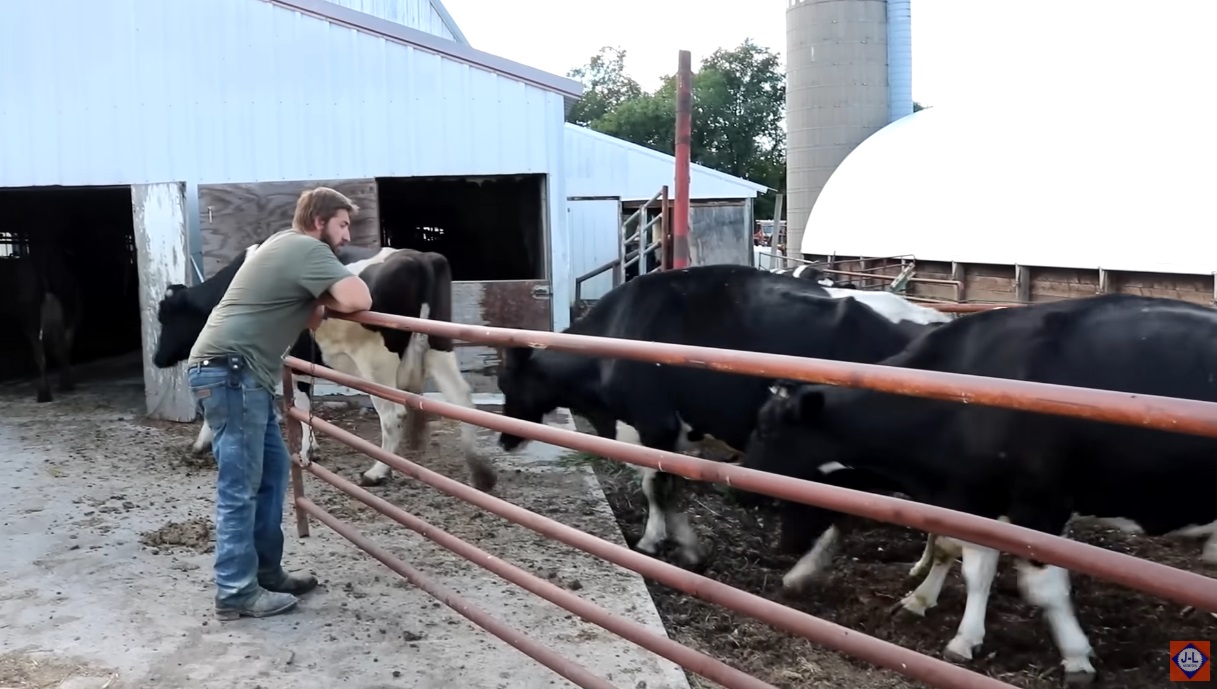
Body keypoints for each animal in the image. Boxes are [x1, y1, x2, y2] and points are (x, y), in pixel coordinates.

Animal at [12, 251, 82, 404]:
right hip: (69, 308)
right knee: (64, 346)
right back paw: (66, 385)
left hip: (31, 315)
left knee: (41, 352)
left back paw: (44, 394)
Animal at [153, 242, 494, 491]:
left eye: (166, 316)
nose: (157, 358)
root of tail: (421, 257)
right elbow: (304, 402)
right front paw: (310, 447)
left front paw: (202, 442)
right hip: (440, 346)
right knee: (462, 399)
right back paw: (480, 473)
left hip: (376, 365)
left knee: (393, 414)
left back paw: (376, 472)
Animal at [494, 262, 949, 567]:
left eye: (506, 383)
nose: (503, 438)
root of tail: (935, 319)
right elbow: (667, 488)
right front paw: (681, 540)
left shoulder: (656, 424)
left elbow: (655, 488)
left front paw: (662, 543)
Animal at [739, 294, 1217, 686]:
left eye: (765, 429)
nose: (737, 487)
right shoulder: (978, 500)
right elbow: (973, 566)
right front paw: (954, 629)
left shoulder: (1038, 506)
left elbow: (1043, 586)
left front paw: (1076, 656)